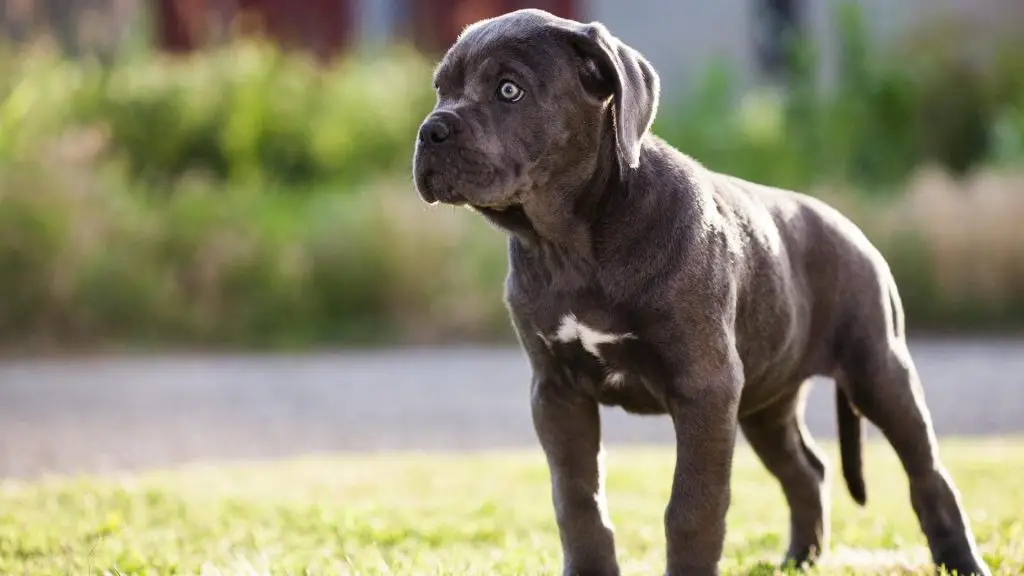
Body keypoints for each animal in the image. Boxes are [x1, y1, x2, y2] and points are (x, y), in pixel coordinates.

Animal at [409, 7, 991, 573]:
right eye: (441, 89)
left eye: (509, 90)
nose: (430, 131)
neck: (572, 243)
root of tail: (855, 232)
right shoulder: (556, 391)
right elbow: (577, 501)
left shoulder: (705, 387)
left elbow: (693, 507)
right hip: (765, 402)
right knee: (807, 470)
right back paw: (798, 559)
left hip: (878, 370)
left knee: (928, 474)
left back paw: (961, 561)